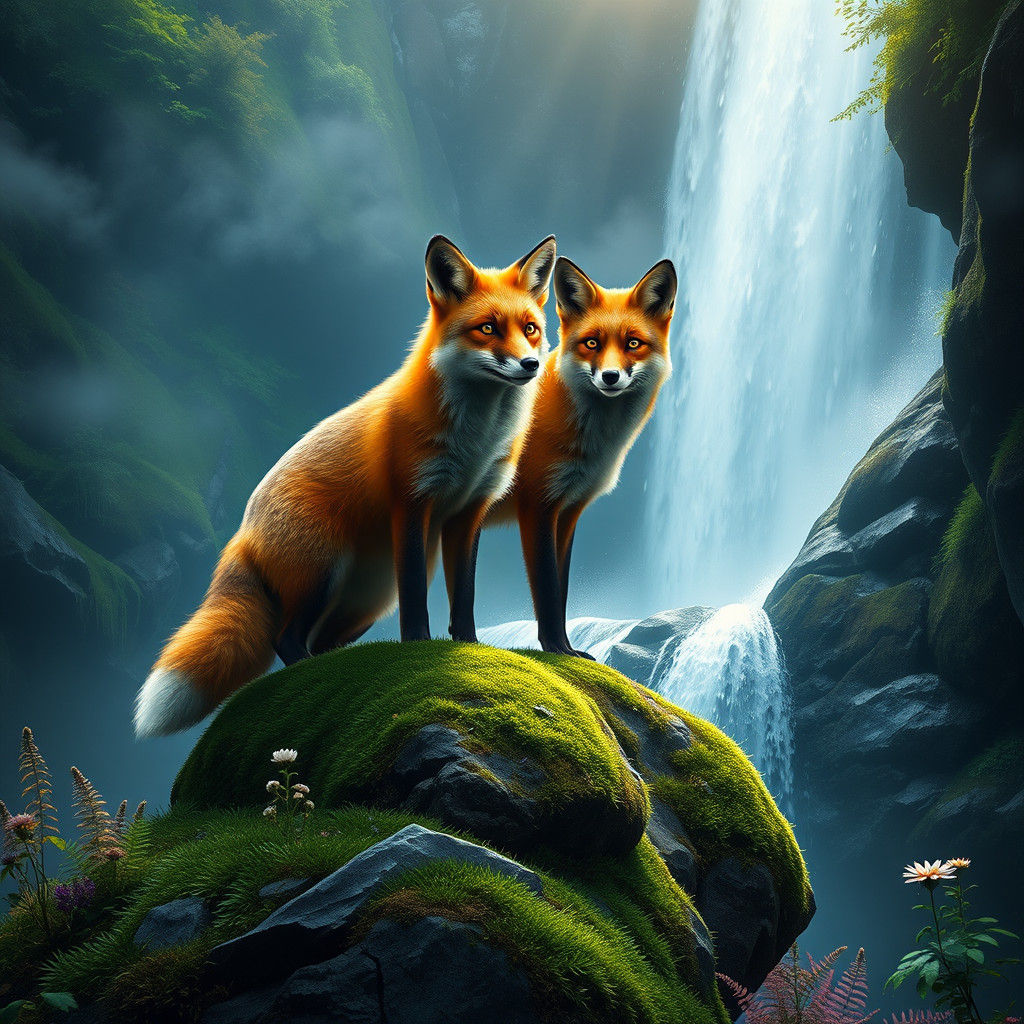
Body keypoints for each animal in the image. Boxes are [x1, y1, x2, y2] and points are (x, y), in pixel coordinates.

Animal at [134, 234, 557, 737]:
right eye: (488, 329)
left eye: (530, 329)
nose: (531, 365)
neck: (476, 439)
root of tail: (242, 529)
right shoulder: (411, 504)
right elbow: (417, 596)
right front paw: (418, 646)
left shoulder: (468, 512)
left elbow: (464, 597)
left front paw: (469, 646)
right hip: (322, 572)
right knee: (284, 639)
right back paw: (308, 670)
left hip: (364, 604)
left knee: (319, 640)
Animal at [487, 255, 677, 657]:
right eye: (591, 343)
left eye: (633, 343)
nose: (610, 376)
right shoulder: (538, 507)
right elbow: (546, 589)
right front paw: (554, 649)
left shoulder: (569, 512)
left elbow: (561, 593)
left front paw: (566, 647)